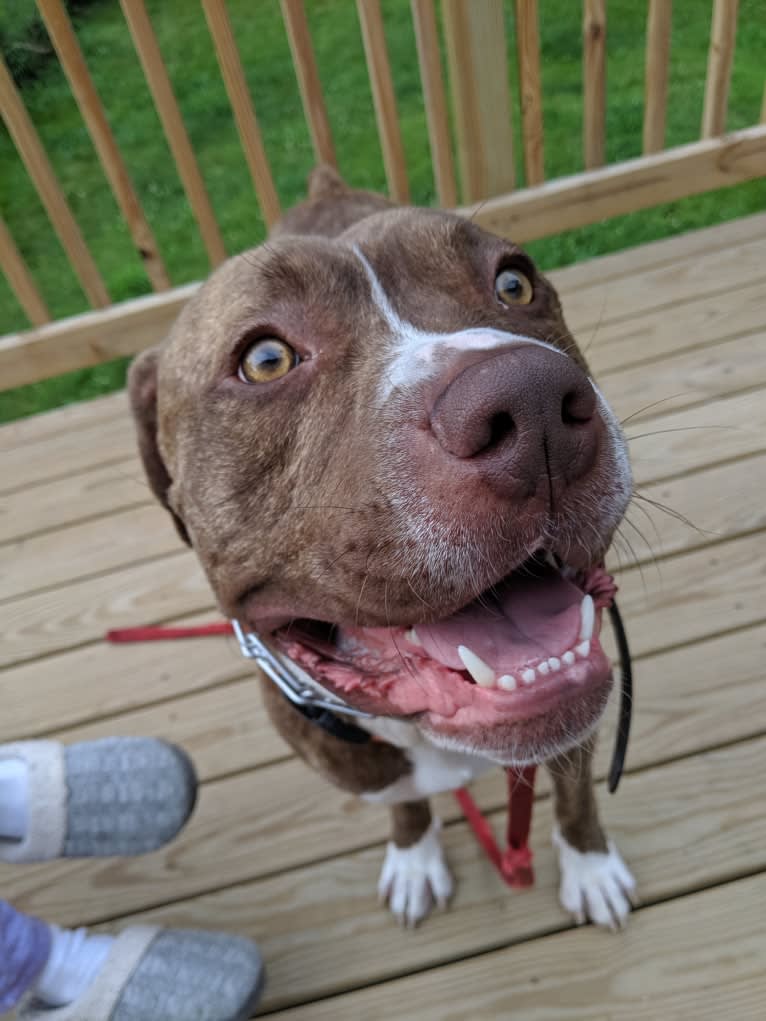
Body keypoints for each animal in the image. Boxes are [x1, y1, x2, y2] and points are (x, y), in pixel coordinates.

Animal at [130, 169, 637, 935]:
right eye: (265, 360)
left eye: (514, 283)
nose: (533, 403)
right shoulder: (365, 770)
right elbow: (405, 803)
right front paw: (415, 856)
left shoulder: (575, 729)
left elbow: (575, 790)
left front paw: (590, 864)